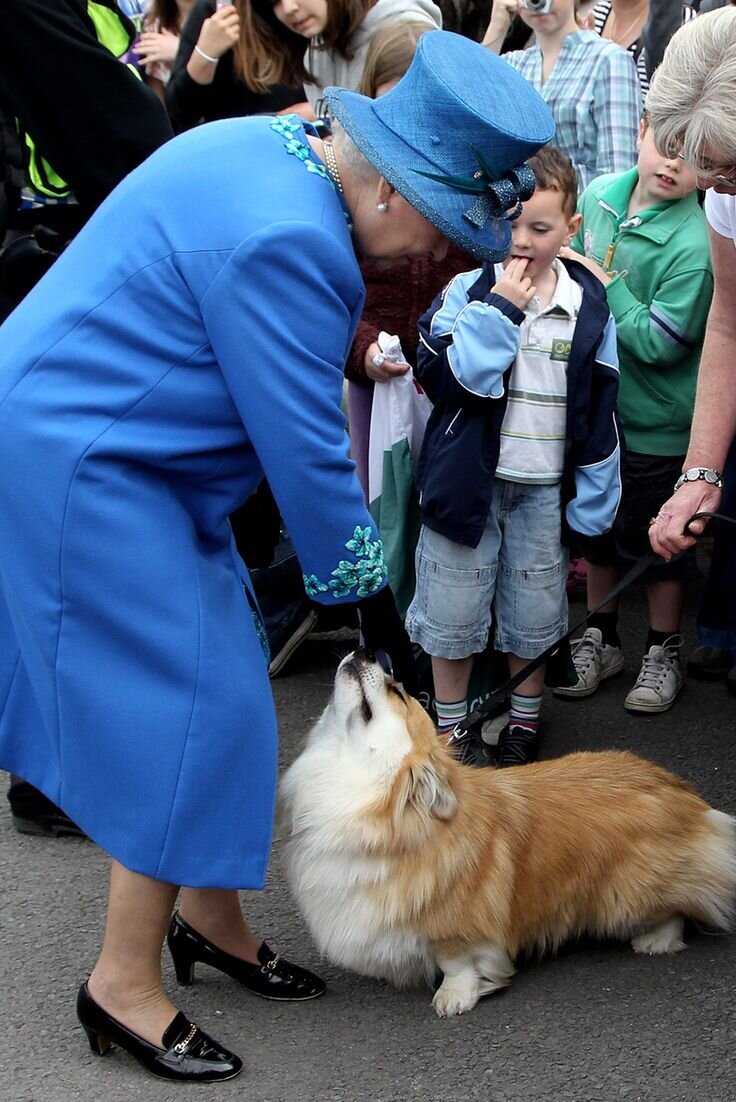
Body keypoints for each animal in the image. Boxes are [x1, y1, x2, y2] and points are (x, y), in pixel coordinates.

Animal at [279, 647, 736, 1018]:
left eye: (399, 693)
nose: (365, 651)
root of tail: (684, 795)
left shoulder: (456, 928)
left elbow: (457, 963)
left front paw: (455, 998)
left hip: (626, 897)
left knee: (681, 906)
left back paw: (655, 939)